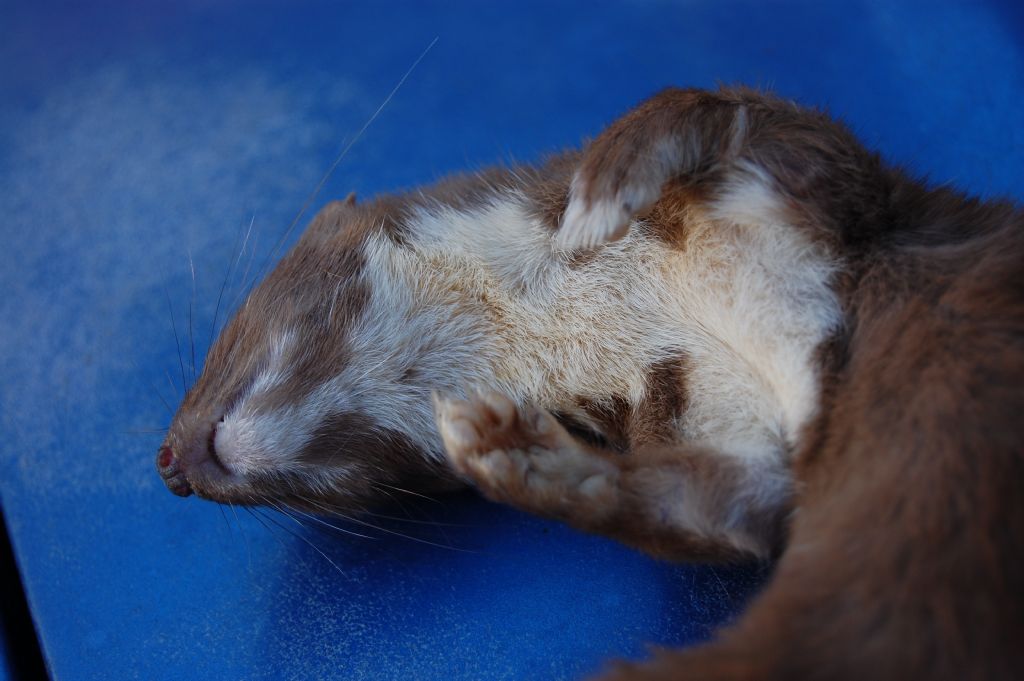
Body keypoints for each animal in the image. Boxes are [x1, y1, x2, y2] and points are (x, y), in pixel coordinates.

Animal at [153, 87, 1024, 675]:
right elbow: (728, 506)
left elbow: (734, 112)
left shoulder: (843, 192)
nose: (166, 465)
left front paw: (612, 175)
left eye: (228, 333)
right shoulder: (708, 408)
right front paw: (537, 462)